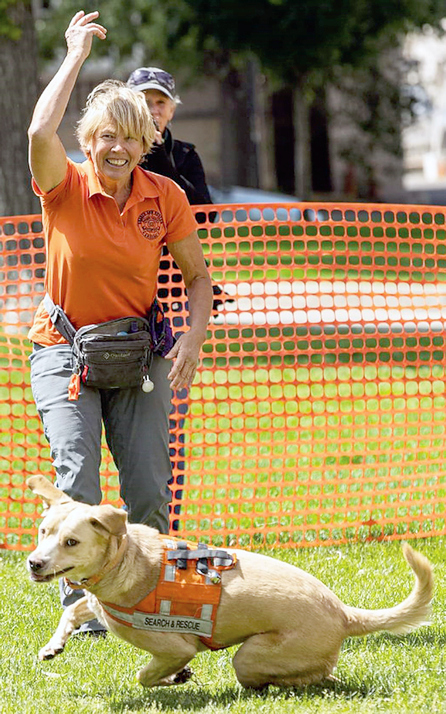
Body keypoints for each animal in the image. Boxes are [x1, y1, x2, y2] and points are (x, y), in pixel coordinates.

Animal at [25, 476, 432, 688]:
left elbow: (146, 675)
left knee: (307, 678)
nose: (34, 563)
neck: (125, 558)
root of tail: (346, 614)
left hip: (250, 657)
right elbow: (74, 611)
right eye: (43, 532)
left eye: (71, 542)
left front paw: (174, 678)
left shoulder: (175, 648)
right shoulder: (93, 602)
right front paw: (52, 647)